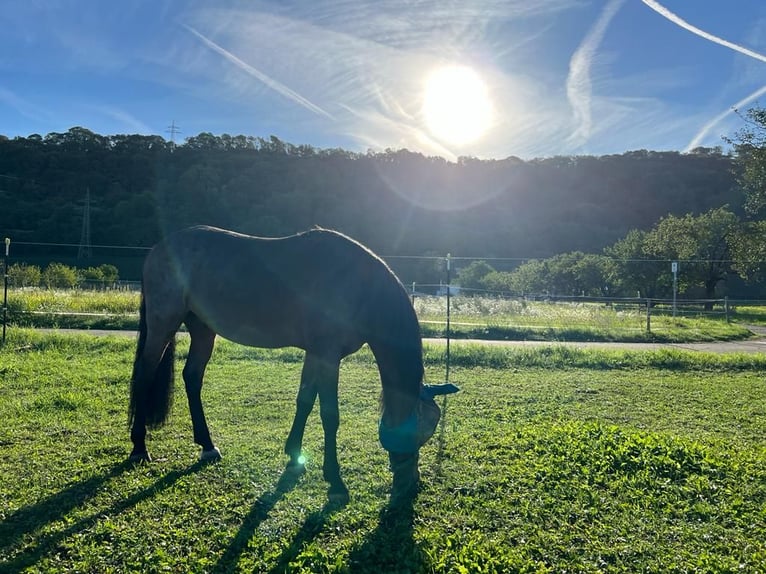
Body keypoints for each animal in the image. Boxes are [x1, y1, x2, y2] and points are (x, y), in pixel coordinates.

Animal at [129, 225, 444, 504]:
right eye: (423, 432)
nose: (410, 484)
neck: (358, 287)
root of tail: (158, 249)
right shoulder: (328, 355)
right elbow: (329, 415)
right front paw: (335, 482)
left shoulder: (316, 354)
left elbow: (304, 400)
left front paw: (294, 455)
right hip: (163, 325)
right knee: (144, 376)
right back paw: (139, 448)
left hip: (204, 331)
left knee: (192, 377)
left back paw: (207, 445)